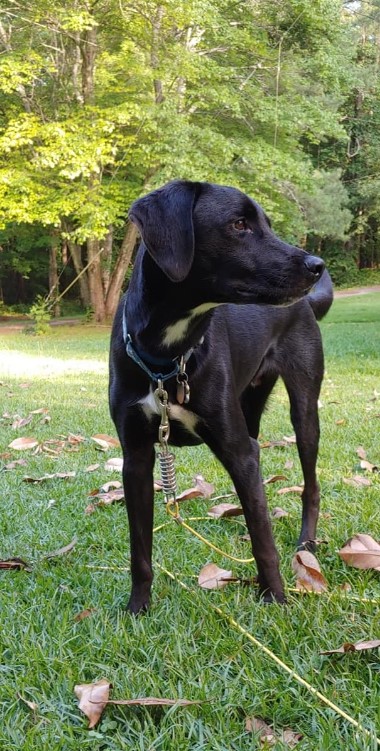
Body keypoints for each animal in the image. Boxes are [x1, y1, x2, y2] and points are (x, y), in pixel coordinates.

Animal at [110, 179, 332, 612]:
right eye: (238, 224)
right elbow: (139, 549)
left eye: (266, 222)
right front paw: (137, 608)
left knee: (309, 483)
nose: (317, 265)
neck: (168, 355)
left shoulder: (238, 449)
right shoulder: (136, 457)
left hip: (304, 410)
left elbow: (264, 541)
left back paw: (305, 544)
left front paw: (275, 600)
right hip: (251, 406)